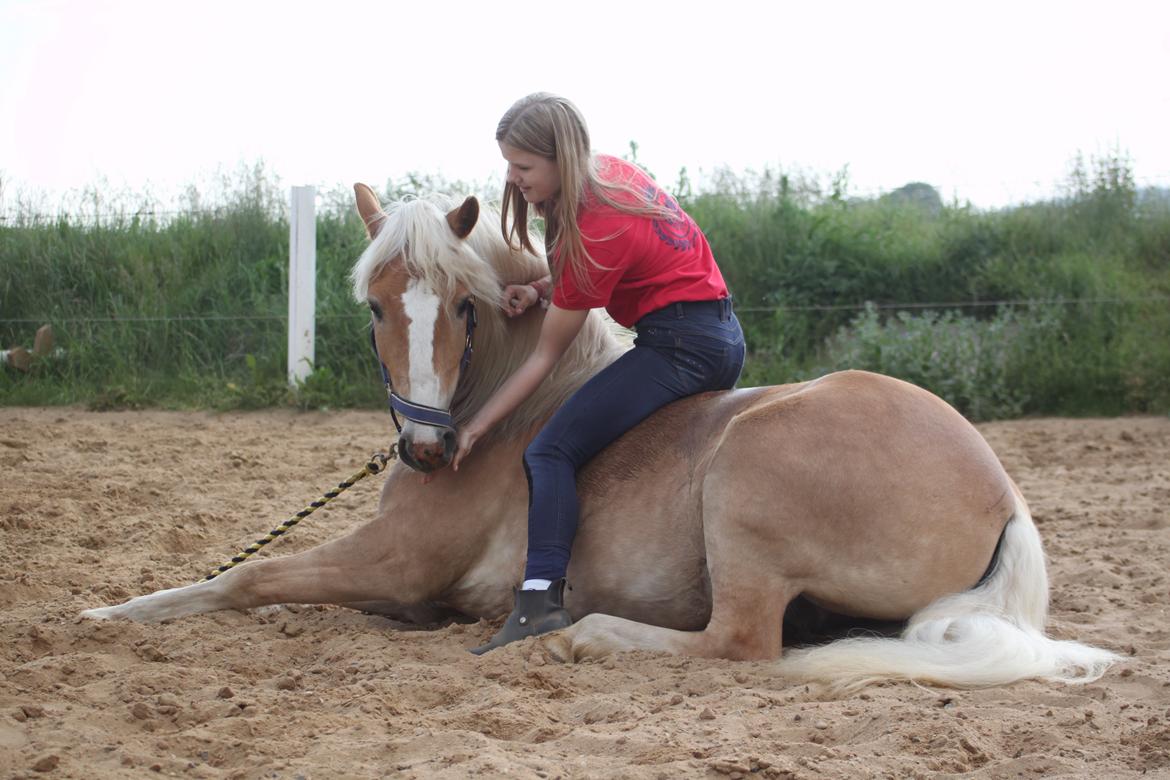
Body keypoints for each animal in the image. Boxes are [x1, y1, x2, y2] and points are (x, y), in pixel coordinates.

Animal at [80, 185, 1113, 692]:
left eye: (464, 308)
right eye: (374, 307)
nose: (428, 452)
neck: (500, 415)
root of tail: (1005, 495)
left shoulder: (395, 559)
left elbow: (246, 577)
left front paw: (108, 616)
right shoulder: (402, 584)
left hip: (748, 476)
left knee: (740, 644)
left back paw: (578, 636)